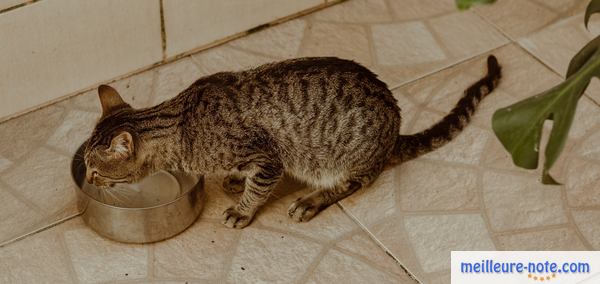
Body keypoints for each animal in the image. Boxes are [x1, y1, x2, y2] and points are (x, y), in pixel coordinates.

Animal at [82, 55, 500, 229]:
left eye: (94, 170)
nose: (86, 180)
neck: (181, 124)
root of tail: (394, 130)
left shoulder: (270, 159)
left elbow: (257, 189)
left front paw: (243, 210)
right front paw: (235, 178)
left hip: (344, 159)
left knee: (351, 183)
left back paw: (309, 201)